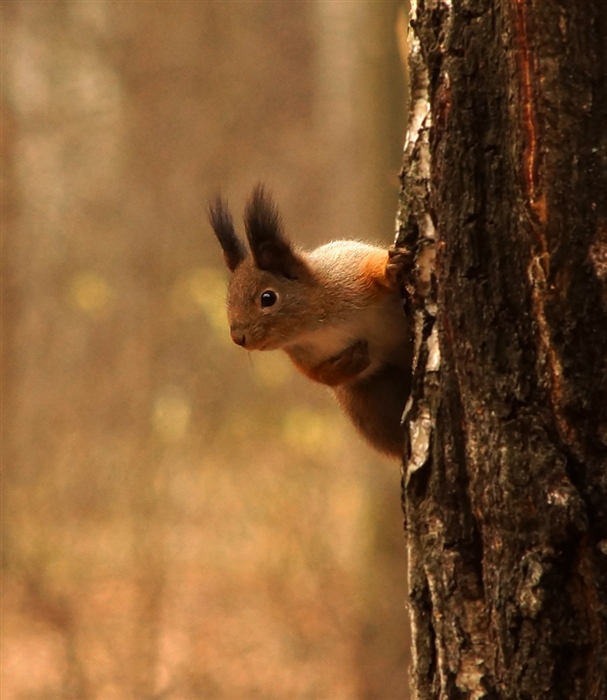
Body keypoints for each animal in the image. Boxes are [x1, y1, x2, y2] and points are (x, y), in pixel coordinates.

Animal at [208, 186, 414, 456]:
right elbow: (318, 375)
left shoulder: (349, 268)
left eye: (267, 298)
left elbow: (374, 267)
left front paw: (391, 268)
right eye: (229, 298)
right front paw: (348, 363)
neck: (317, 323)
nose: (237, 337)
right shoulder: (301, 354)